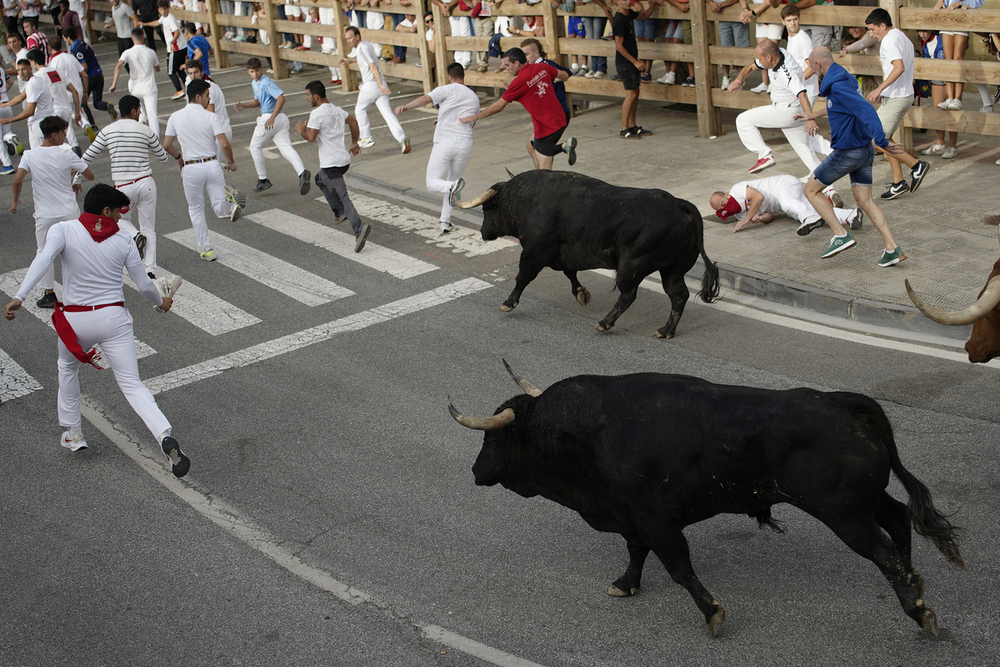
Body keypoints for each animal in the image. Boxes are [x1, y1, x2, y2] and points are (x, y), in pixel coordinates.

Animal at [450, 362, 964, 640]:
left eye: (493, 439)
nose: (475, 471)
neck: (587, 430)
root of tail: (843, 402)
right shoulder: (633, 517)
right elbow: (636, 552)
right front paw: (625, 584)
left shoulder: (656, 519)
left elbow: (678, 567)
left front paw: (712, 612)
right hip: (864, 502)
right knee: (899, 519)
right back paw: (916, 581)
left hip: (844, 515)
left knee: (883, 551)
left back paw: (919, 609)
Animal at [454, 172, 720, 340]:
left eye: (488, 208)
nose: (483, 232)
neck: (527, 200)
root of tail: (679, 204)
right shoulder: (564, 254)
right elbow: (570, 273)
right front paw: (581, 293)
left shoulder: (533, 252)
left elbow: (522, 278)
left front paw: (508, 303)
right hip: (672, 269)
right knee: (678, 296)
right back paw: (665, 331)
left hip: (631, 265)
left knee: (628, 294)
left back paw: (605, 322)